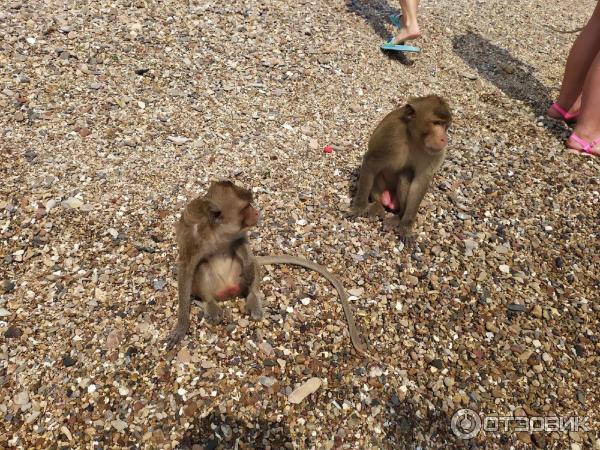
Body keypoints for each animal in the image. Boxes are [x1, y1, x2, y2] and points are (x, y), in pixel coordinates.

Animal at [166, 181, 368, 354]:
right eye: (246, 207)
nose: (256, 212)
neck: (218, 231)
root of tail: (230, 292)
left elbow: (243, 249)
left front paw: (248, 267)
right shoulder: (192, 236)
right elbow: (186, 268)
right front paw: (181, 326)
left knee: (251, 267)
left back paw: (252, 298)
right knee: (202, 268)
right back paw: (209, 303)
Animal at [352, 95, 450, 243]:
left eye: (445, 125)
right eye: (436, 123)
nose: (444, 138)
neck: (413, 137)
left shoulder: (436, 153)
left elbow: (420, 182)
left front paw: (405, 225)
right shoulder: (391, 135)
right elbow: (371, 163)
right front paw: (359, 207)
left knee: (405, 174)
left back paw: (398, 216)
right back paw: (377, 205)